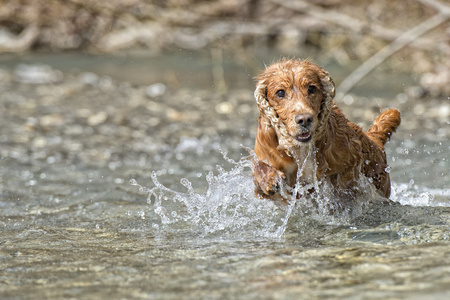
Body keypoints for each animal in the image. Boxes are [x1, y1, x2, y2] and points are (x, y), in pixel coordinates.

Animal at [251, 59, 402, 202]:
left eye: (312, 88)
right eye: (280, 92)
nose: (304, 119)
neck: (301, 149)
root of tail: (374, 139)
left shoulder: (352, 158)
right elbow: (259, 167)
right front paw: (269, 180)